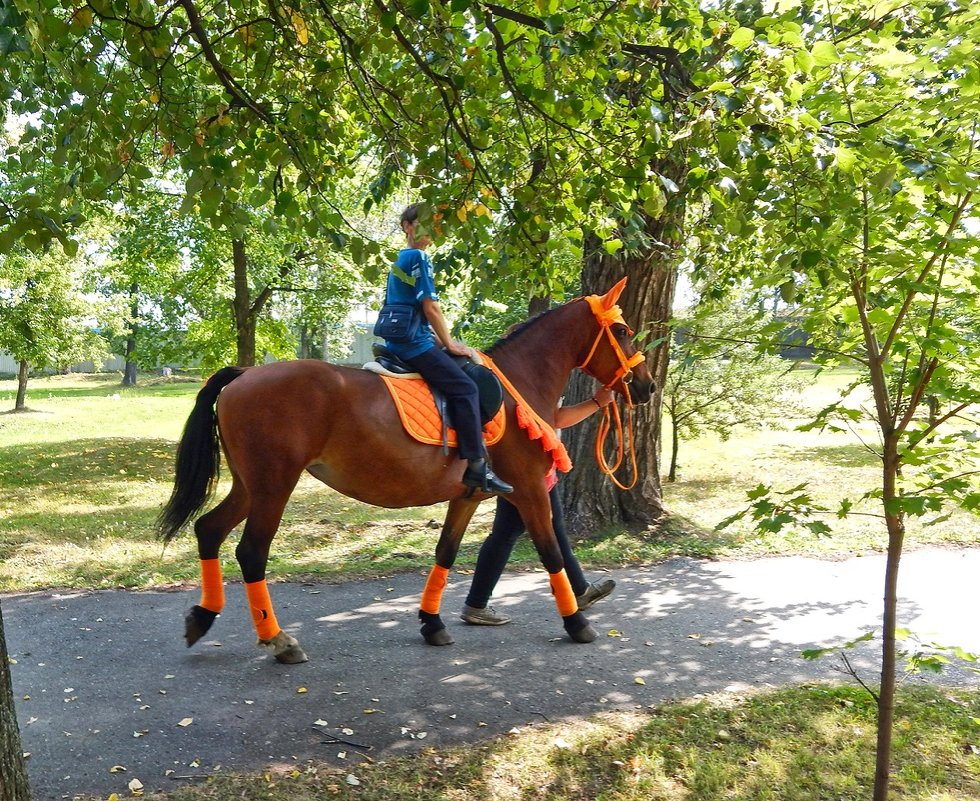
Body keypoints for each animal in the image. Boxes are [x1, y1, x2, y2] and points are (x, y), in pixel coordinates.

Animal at [159, 278, 652, 660]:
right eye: (623, 329)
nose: (645, 385)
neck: (519, 383)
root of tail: (243, 374)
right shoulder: (530, 490)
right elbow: (551, 553)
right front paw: (576, 622)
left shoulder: (468, 495)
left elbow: (446, 553)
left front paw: (432, 624)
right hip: (273, 487)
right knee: (251, 553)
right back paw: (278, 639)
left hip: (250, 486)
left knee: (208, 529)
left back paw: (203, 617)